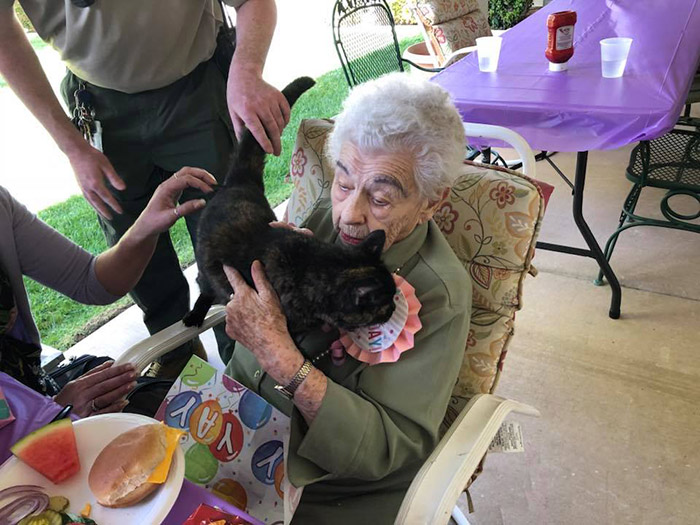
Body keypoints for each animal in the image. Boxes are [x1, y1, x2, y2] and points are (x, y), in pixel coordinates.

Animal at [183, 75, 396, 334]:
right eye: (385, 305)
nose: (395, 307)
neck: (312, 265)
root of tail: (240, 181)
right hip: (206, 273)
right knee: (203, 287)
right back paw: (194, 315)